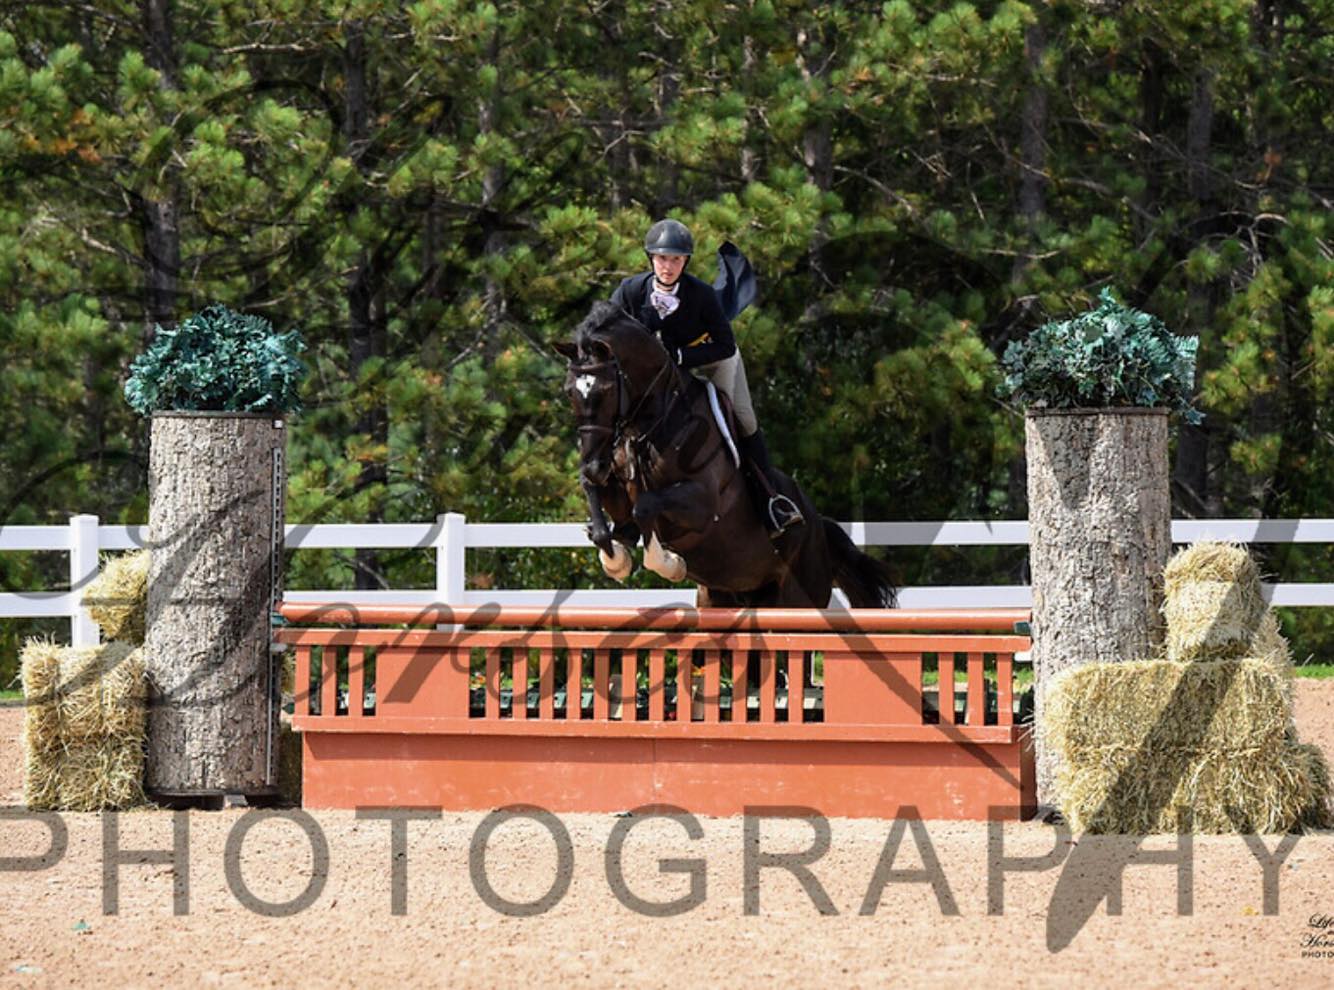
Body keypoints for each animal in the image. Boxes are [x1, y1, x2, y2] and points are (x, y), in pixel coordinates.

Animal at [552, 300, 896, 613]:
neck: (651, 426)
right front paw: (615, 558)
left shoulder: (704, 504)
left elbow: (645, 506)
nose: (594, 466)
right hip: (723, 596)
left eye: (606, 391)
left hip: (798, 597)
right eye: (569, 391)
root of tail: (819, 528)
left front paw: (667, 563)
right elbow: (604, 511)